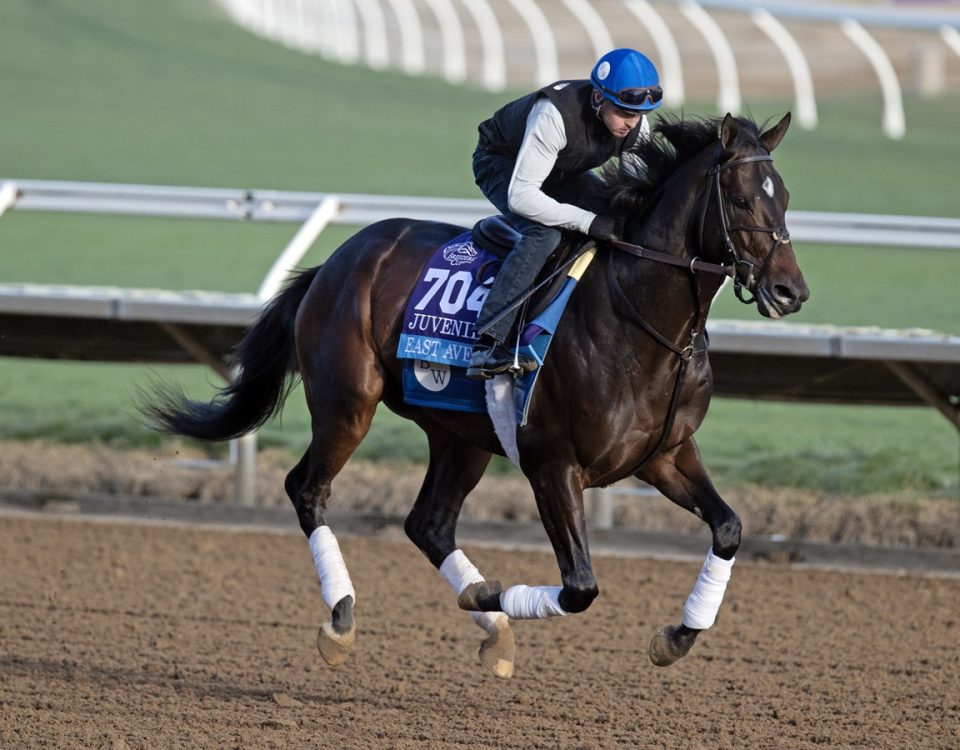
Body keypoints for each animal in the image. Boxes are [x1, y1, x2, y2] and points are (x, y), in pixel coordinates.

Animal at [146, 113, 808, 680]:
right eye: (743, 199)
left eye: (784, 198)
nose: (790, 291)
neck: (639, 320)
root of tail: (337, 260)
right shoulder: (552, 465)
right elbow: (580, 588)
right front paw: (493, 595)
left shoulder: (665, 455)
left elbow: (728, 527)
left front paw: (676, 636)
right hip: (347, 406)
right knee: (308, 489)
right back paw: (343, 619)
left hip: (460, 436)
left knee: (429, 525)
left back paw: (490, 623)